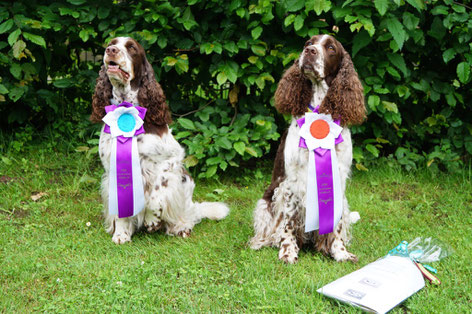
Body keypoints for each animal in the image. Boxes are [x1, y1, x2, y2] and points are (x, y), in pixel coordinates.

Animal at [89, 36, 230, 243]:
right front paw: (121, 234)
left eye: (131, 48)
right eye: (111, 43)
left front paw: (152, 221)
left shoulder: (170, 160)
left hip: (185, 182)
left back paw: (180, 227)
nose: (111, 50)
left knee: (187, 214)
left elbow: (156, 195)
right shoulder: (111, 167)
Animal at [249, 34, 366, 264]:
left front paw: (339, 252)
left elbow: (337, 224)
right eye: (308, 43)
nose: (310, 51)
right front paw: (287, 252)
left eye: (331, 48)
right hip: (267, 200)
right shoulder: (290, 182)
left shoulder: (338, 179)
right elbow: (287, 222)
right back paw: (263, 242)